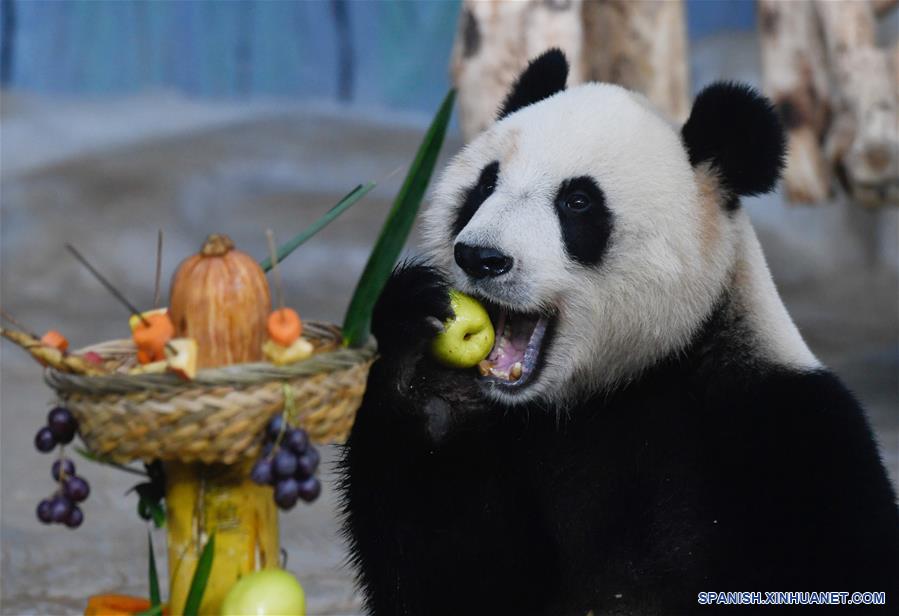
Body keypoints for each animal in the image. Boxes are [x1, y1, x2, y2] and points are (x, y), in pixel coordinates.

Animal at [340, 50, 899, 612]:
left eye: (578, 202)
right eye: (484, 185)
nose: (480, 257)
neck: (610, 386)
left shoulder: (788, 436)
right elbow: (449, 574)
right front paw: (422, 369)